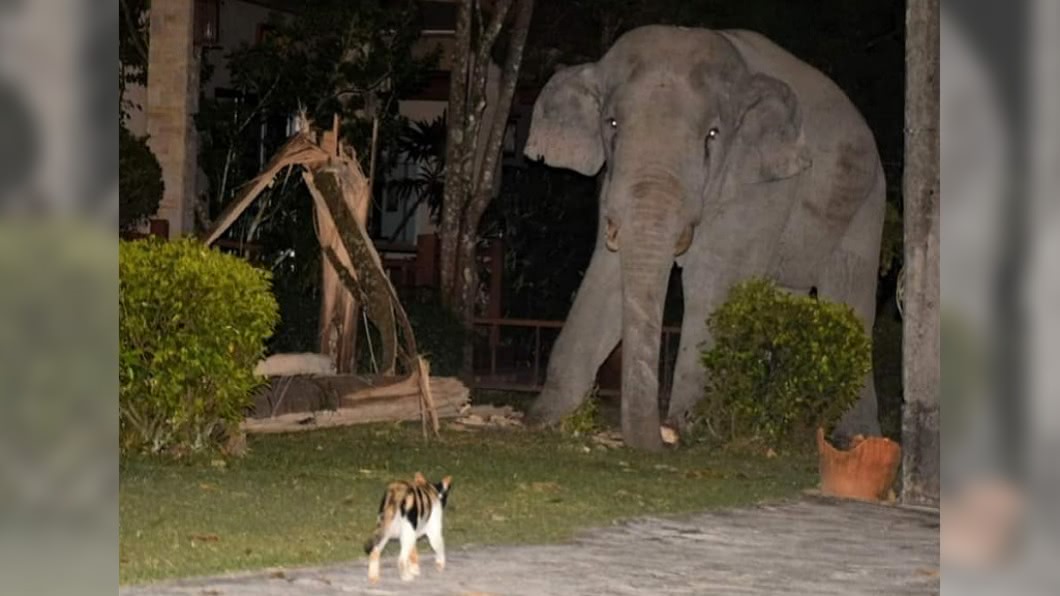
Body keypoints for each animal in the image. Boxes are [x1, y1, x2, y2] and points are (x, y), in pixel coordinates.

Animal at [522, 25, 886, 451]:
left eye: (712, 135)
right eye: (611, 124)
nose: (660, 440)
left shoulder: (762, 185)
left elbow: (711, 281)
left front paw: (691, 428)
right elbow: (607, 274)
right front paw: (545, 418)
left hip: (867, 203)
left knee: (850, 295)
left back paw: (855, 437)